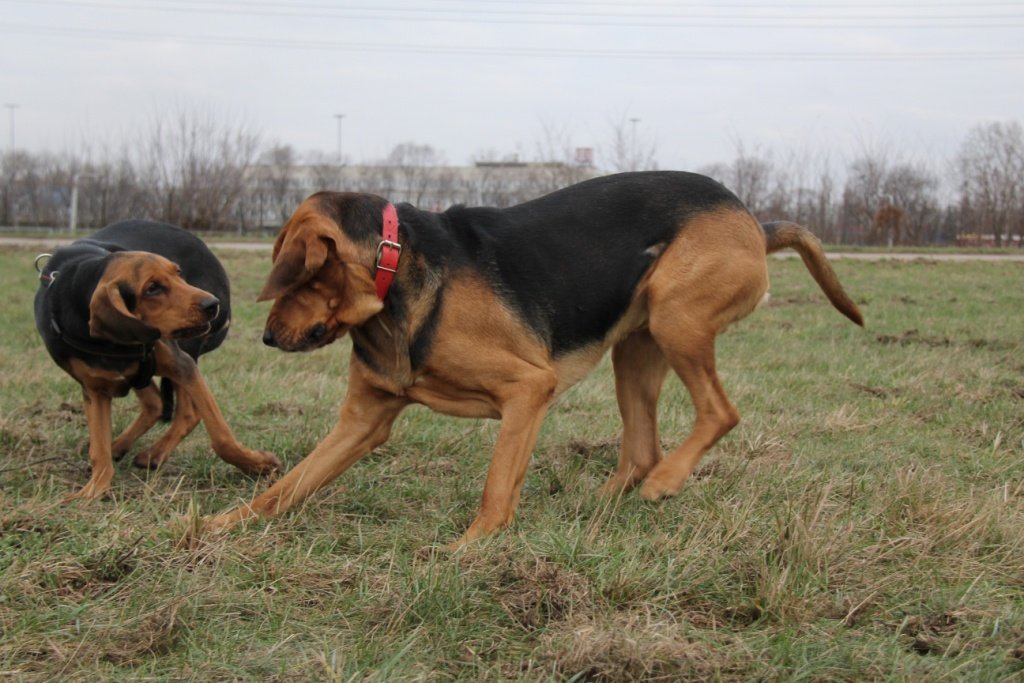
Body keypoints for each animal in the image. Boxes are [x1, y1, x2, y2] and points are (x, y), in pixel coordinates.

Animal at [35, 222, 280, 499]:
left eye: (178, 273)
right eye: (152, 288)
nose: (212, 304)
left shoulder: (182, 365)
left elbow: (221, 437)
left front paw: (259, 464)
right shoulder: (94, 390)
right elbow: (99, 449)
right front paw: (92, 490)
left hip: (187, 350)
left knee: (185, 412)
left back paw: (153, 453)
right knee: (155, 404)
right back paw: (122, 447)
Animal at [203, 174, 860, 548]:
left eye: (296, 276)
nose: (266, 338)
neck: (396, 270)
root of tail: (754, 219)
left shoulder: (527, 391)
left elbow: (496, 490)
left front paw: (468, 551)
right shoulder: (362, 421)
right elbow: (284, 489)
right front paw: (211, 528)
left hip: (679, 319)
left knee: (719, 414)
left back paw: (667, 482)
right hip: (637, 347)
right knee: (640, 450)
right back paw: (595, 506)